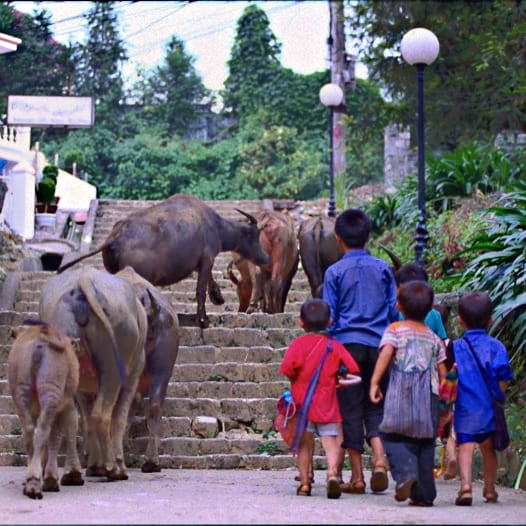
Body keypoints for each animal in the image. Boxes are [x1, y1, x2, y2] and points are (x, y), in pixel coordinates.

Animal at [7, 320, 83, 502]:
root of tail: (41, 339)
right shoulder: (64, 406)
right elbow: (58, 435)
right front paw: (52, 478)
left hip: (21, 388)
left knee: (29, 431)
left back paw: (31, 482)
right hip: (52, 390)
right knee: (43, 431)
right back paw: (38, 481)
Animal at [38, 268, 148, 482]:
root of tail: (84, 280)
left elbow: (85, 417)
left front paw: (94, 466)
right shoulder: (135, 371)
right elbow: (119, 417)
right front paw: (109, 465)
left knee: (71, 416)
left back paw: (72, 472)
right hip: (117, 347)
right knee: (102, 414)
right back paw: (115, 468)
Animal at [59, 196, 270, 330]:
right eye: (255, 235)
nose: (266, 258)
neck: (216, 226)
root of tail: (117, 235)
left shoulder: (203, 262)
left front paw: (217, 297)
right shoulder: (208, 258)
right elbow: (200, 291)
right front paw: (203, 320)